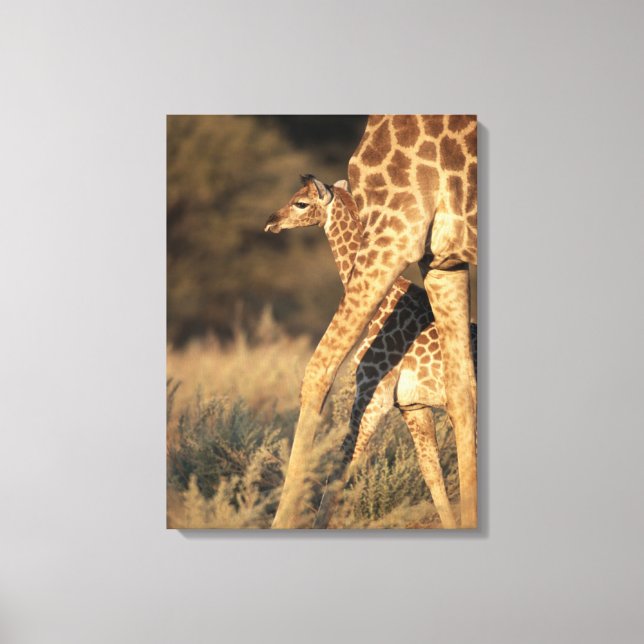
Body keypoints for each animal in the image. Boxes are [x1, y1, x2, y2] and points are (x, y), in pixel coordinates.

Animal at [271, 116, 478, 529]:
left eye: (301, 202)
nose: (271, 221)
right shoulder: (412, 406)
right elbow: (432, 473)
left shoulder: (374, 394)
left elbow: (341, 466)